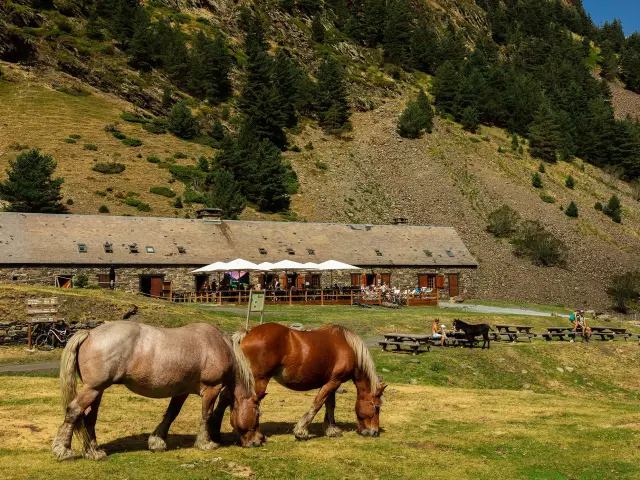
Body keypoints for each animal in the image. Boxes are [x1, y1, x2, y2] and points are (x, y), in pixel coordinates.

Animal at [51, 321, 263, 461]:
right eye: (258, 414)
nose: (258, 441)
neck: (219, 345)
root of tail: (90, 333)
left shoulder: (181, 391)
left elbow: (171, 414)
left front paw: (157, 442)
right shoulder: (212, 389)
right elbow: (206, 415)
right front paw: (206, 443)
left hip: (97, 391)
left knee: (89, 417)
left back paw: (93, 452)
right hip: (93, 389)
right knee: (74, 411)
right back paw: (63, 451)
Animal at [211, 323, 387, 441]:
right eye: (376, 407)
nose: (374, 432)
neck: (347, 346)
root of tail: (247, 333)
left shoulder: (332, 382)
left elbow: (329, 406)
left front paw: (331, 430)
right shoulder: (333, 382)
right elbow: (318, 403)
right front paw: (301, 431)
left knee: (225, 398)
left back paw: (215, 433)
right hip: (256, 381)